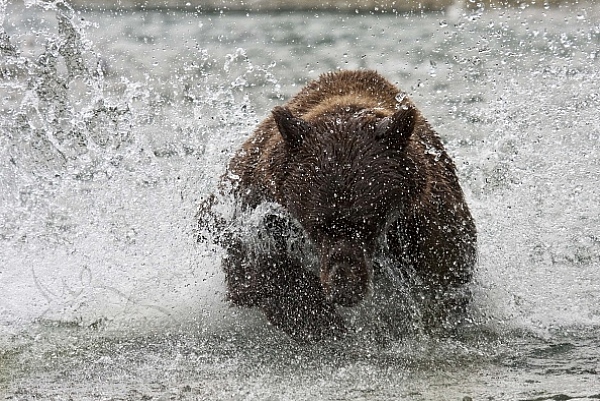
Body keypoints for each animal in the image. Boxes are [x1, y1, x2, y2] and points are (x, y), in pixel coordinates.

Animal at [199, 69, 476, 340]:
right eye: (317, 226)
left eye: (369, 225)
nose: (345, 287)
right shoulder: (257, 203)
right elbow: (254, 263)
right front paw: (316, 317)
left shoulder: (422, 219)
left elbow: (445, 270)